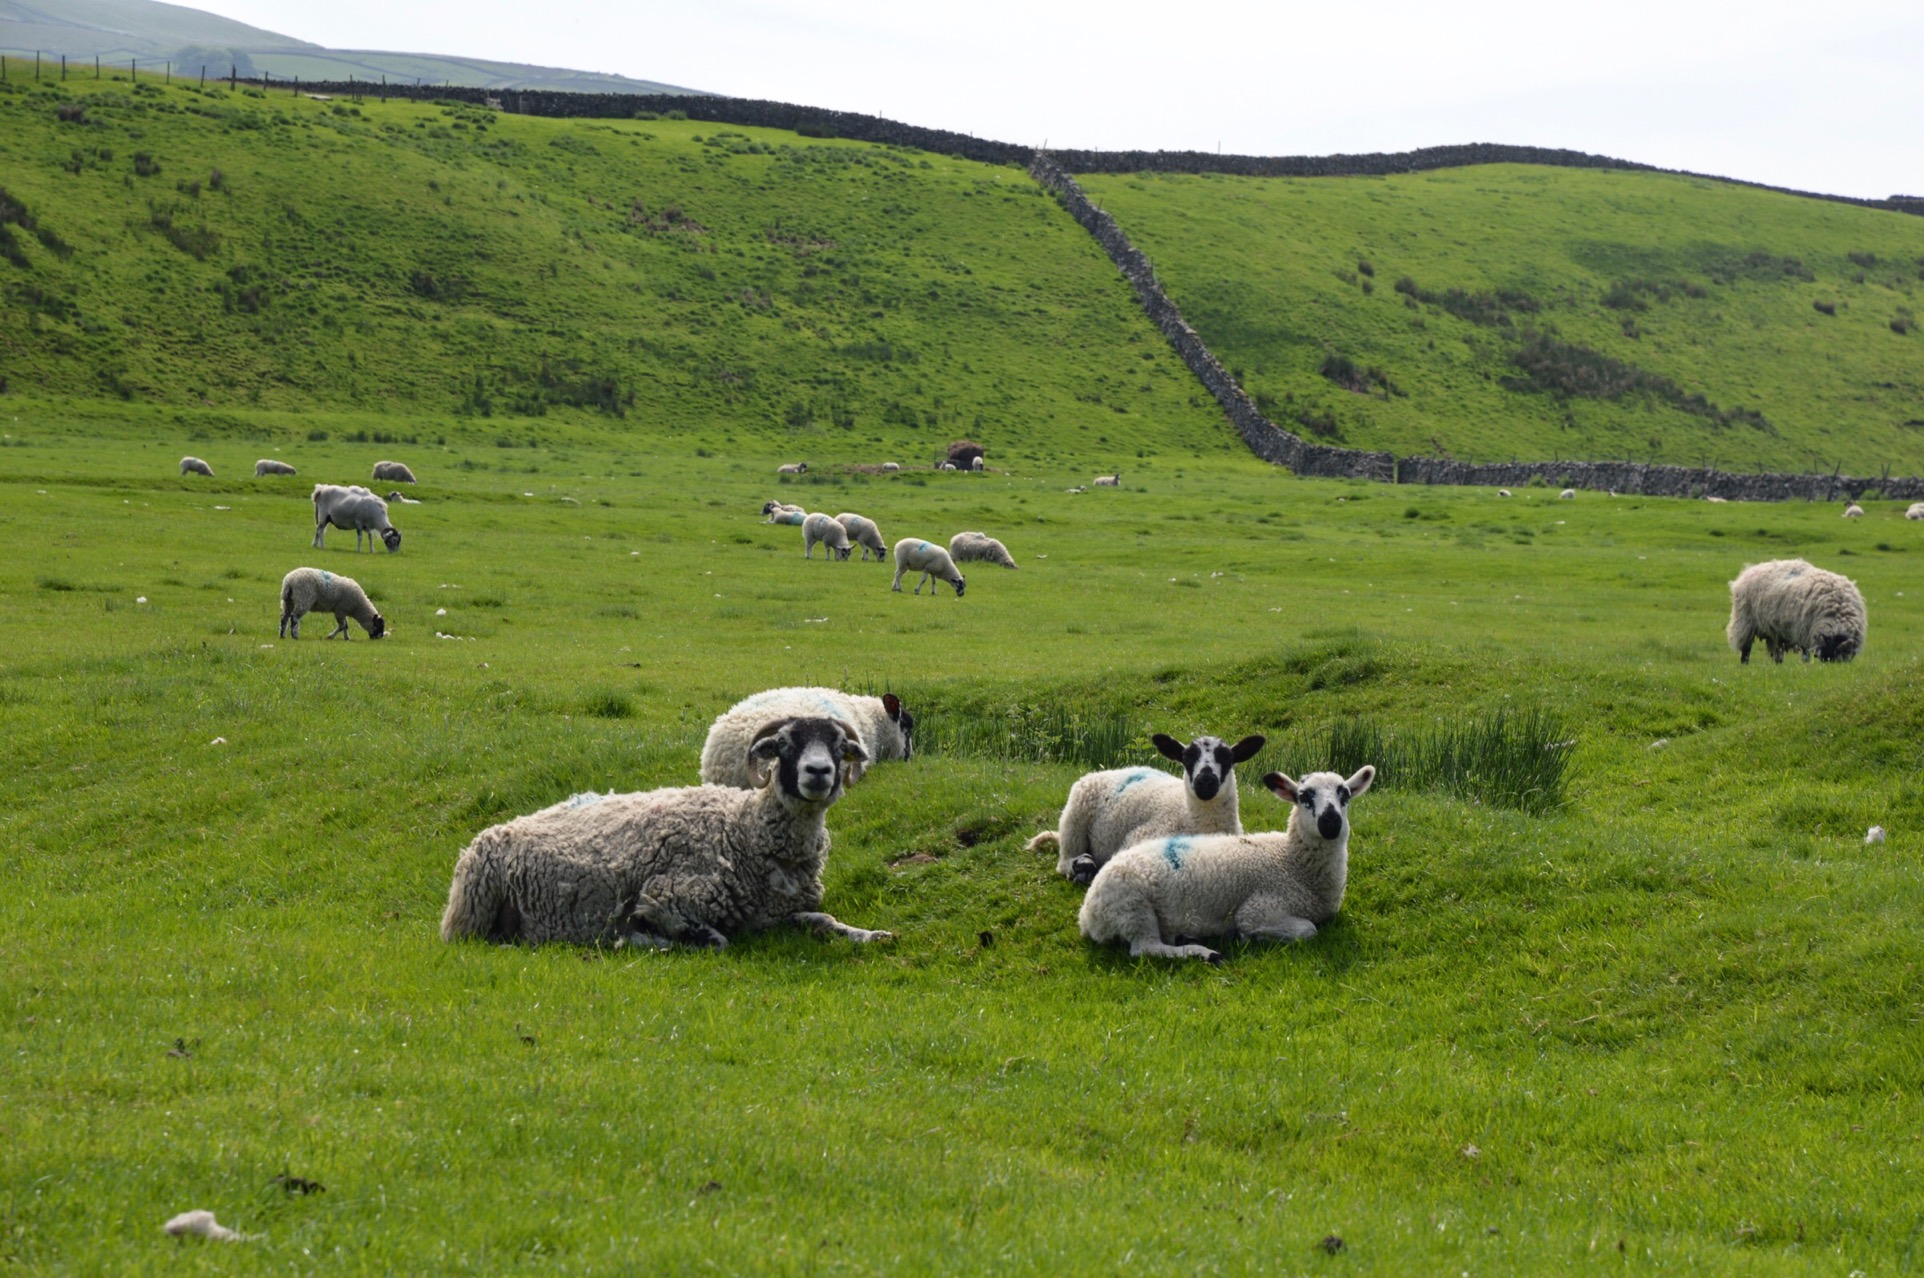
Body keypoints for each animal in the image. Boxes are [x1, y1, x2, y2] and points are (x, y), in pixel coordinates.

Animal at [440, 719, 888, 946]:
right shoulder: (665, 899)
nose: (818, 772)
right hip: (473, 912)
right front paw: (634, 940)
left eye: (839, 746)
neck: (743, 829)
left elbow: (824, 919)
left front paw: (871, 934)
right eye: (784, 743)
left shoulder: (775, 913)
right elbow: (717, 941)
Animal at [1031, 735, 1269, 885]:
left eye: (1228, 758)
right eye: (1186, 758)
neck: (1191, 819)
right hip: (1074, 817)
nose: (1206, 781)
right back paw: (1082, 866)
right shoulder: (1139, 839)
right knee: (1065, 860)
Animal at [1077, 762, 1377, 962]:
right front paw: (1248, 936)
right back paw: (1202, 952)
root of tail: (1087, 913)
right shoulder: (1260, 908)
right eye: (1304, 796)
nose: (1331, 821)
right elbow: (1308, 930)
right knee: (1145, 949)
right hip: (1133, 908)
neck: (1292, 863)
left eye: (1344, 795)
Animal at [1731, 554, 1862, 662]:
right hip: (1745, 622)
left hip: (1774, 630)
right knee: (1746, 649)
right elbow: (1805, 653)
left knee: (1776, 652)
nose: (1824, 663)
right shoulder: (1802, 629)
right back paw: (1744, 663)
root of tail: (1750, 570)